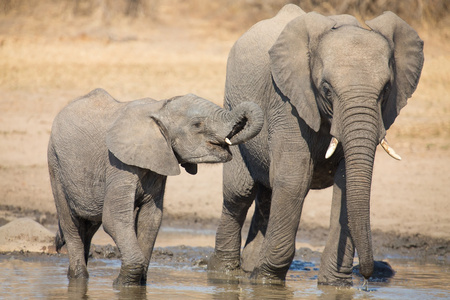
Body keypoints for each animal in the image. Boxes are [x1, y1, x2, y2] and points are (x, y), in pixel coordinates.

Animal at [47, 88, 264, 286]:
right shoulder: (117, 163)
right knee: (70, 224)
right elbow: (114, 218)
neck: (159, 109)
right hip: (54, 164)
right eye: (197, 124)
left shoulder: (159, 163)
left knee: (89, 227)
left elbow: (151, 219)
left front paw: (138, 283)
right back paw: (79, 278)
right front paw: (122, 285)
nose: (233, 140)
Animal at [208, 4, 426, 286]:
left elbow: (346, 183)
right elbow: (295, 179)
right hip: (234, 110)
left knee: (267, 192)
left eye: (387, 89)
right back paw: (222, 272)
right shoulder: (287, 101)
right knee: (239, 194)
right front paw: (267, 281)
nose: (367, 275)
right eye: (327, 89)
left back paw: (248, 268)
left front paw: (336, 285)